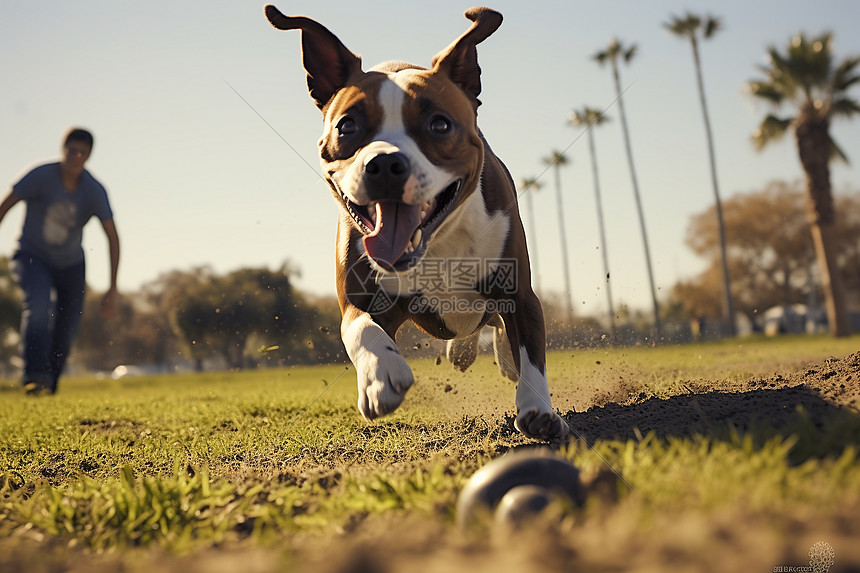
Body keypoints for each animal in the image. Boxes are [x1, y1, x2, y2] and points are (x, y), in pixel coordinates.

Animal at [266, 3, 568, 442]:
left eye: (439, 124)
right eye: (347, 125)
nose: (384, 164)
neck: (435, 241)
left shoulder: (518, 291)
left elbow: (531, 349)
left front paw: (537, 410)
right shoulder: (362, 300)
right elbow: (360, 330)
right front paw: (380, 378)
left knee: (498, 329)